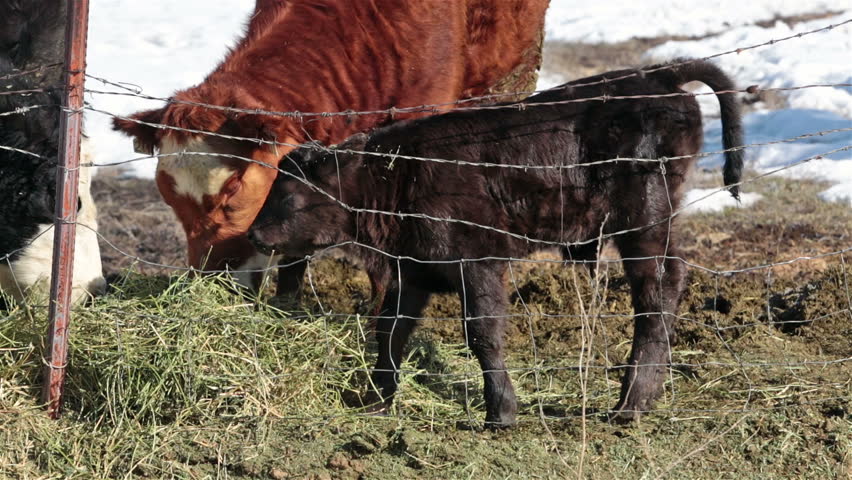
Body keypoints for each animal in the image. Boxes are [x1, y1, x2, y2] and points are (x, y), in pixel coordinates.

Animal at [247, 59, 745, 427]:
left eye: (290, 196)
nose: (253, 233)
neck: (395, 175)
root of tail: (658, 76)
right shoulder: (413, 270)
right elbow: (390, 330)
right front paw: (375, 400)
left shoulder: (478, 263)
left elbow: (482, 333)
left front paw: (500, 412)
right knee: (670, 280)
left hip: (643, 224)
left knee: (654, 293)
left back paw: (629, 404)